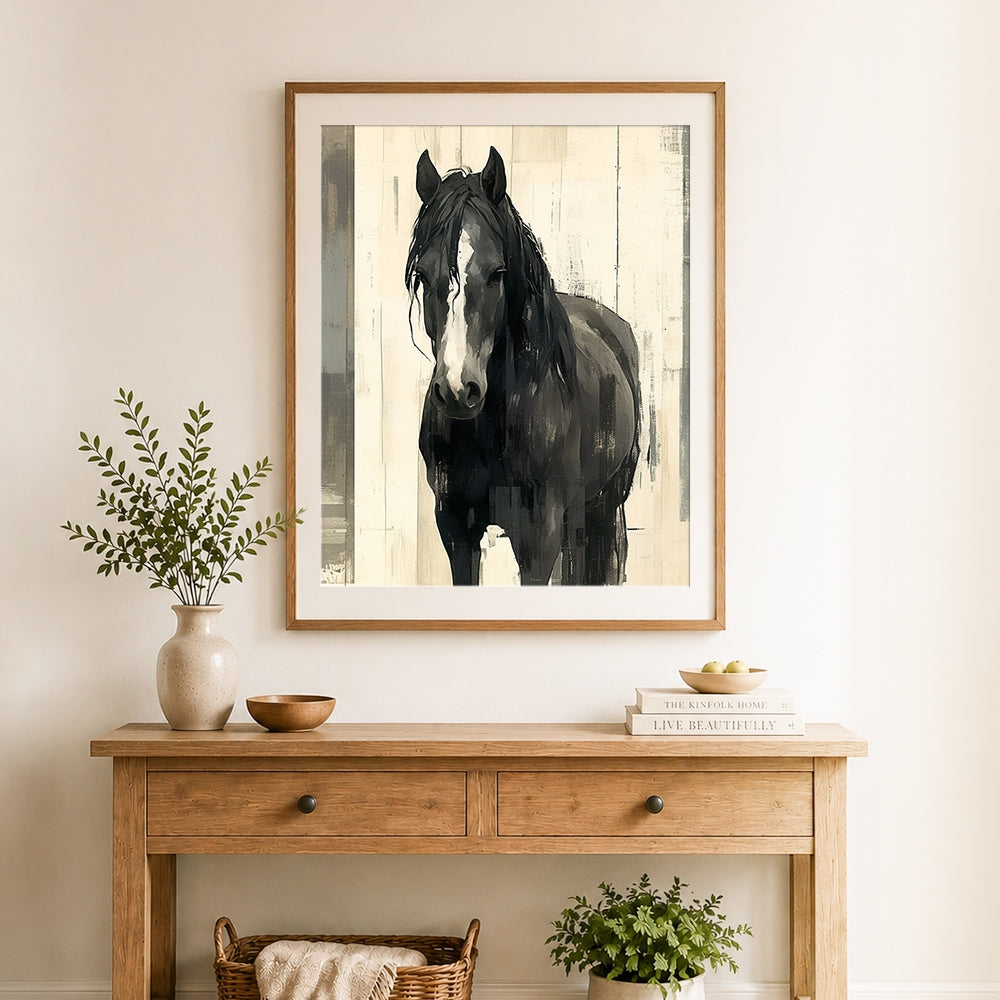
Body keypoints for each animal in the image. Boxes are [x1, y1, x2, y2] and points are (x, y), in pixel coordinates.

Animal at [405, 146, 641, 586]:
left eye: (497, 273)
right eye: (423, 275)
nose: (458, 391)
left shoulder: (538, 537)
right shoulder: (456, 530)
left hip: (602, 504)